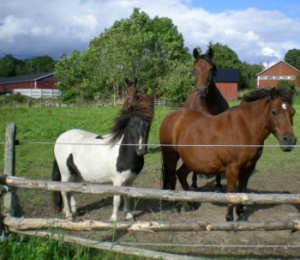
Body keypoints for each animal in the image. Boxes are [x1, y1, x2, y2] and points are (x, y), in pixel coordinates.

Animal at [52, 93, 154, 221]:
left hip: (75, 173)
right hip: (66, 173)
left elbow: (128, 196)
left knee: (71, 190)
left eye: (148, 126)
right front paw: (114, 219)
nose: (141, 150)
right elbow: (117, 200)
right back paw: (69, 214)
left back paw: (73, 210)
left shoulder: (130, 181)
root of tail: (60, 137)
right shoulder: (118, 181)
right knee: (64, 191)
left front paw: (129, 216)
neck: (123, 153)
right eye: (131, 125)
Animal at [161, 88, 296, 221]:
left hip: (191, 161)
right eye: (274, 112)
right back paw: (174, 206)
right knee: (172, 178)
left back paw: (191, 204)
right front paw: (229, 218)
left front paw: (241, 215)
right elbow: (232, 192)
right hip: (171, 157)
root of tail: (170, 116)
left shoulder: (248, 168)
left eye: (293, 112)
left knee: (181, 174)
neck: (246, 128)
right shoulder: (232, 168)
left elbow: (241, 191)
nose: (289, 140)